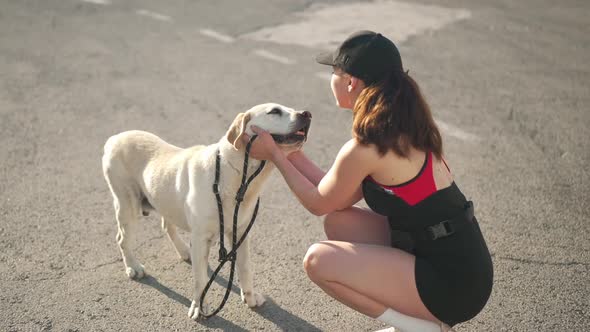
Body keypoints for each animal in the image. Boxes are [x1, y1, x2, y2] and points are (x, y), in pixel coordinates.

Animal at [102, 103, 314, 320]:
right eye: (274, 111)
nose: (307, 114)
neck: (239, 178)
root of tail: (114, 138)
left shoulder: (241, 232)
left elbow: (245, 268)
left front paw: (249, 297)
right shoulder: (201, 237)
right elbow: (200, 279)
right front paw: (198, 306)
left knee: (166, 225)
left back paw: (184, 251)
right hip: (127, 205)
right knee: (122, 239)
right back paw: (133, 267)